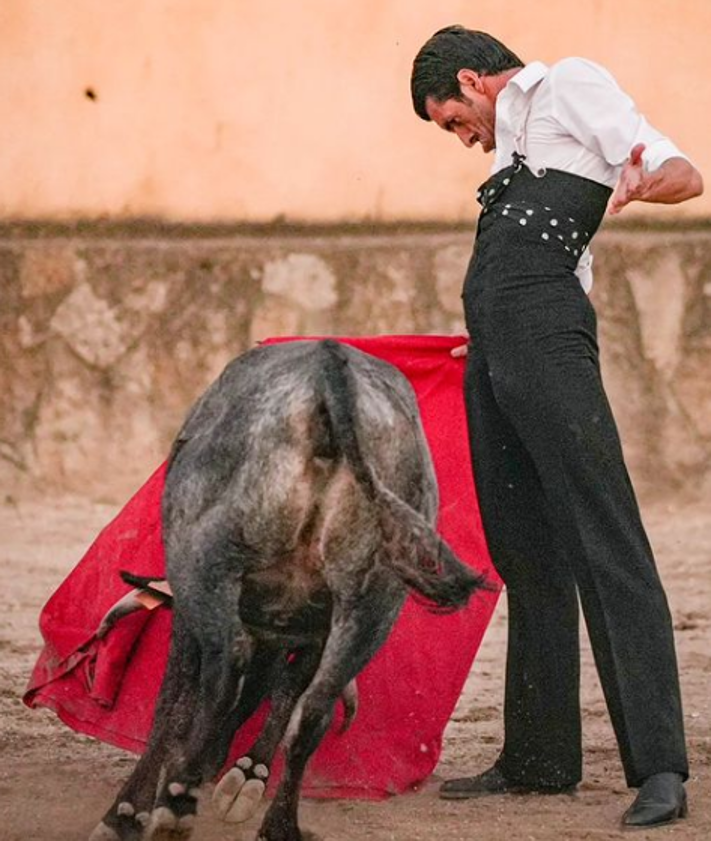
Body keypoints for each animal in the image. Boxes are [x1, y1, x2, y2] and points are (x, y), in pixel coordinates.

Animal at [90, 338, 490, 840]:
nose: (213, 762)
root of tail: (330, 372)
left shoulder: (190, 607)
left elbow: (175, 703)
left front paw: (128, 811)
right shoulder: (313, 630)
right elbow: (287, 693)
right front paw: (246, 775)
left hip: (208, 561)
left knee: (223, 676)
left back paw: (177, 802)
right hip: (373, 605)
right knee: (314, 711)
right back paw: (276, 823)